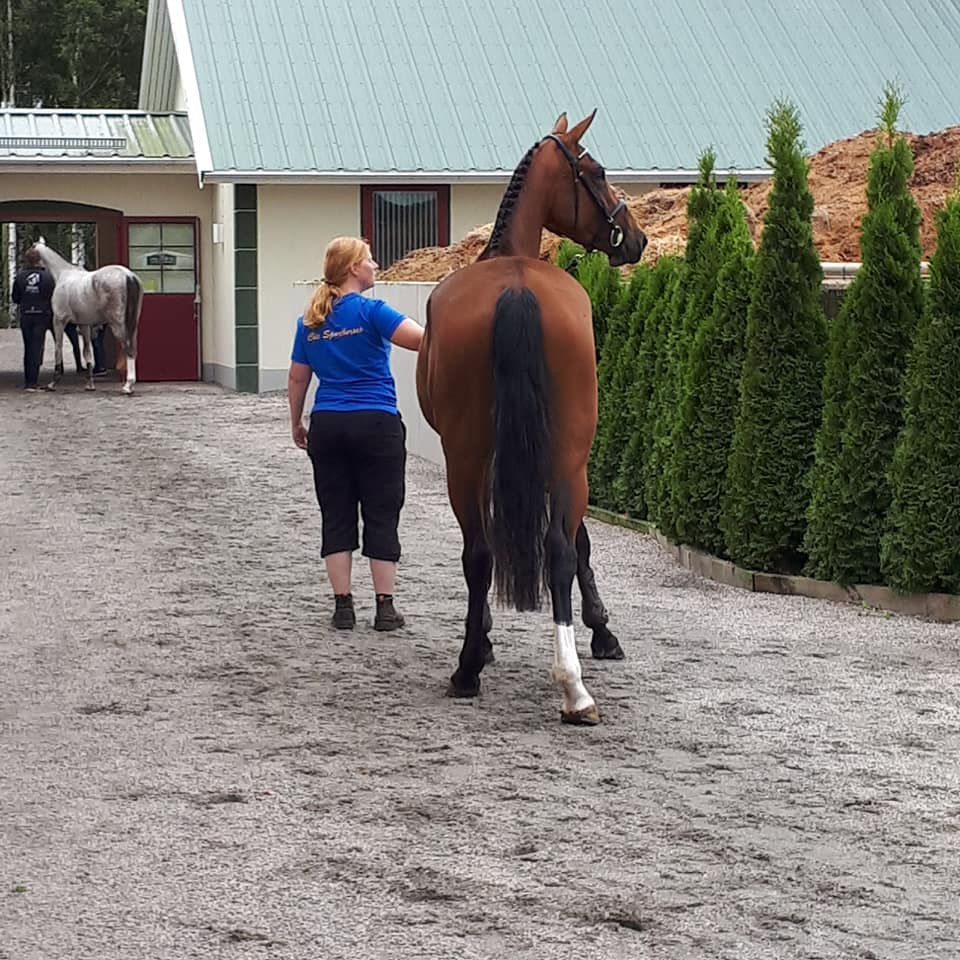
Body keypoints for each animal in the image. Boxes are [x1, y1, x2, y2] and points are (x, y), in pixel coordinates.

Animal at [31, 240, 143, 395]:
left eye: (30, 249)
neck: (62, 275)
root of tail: (128, 276)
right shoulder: (84, 324)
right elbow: (87, 352)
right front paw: (90, 384)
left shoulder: (59, 321)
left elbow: (58, 349)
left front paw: (52, 383)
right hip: (133, 325)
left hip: (118, 325)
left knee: (128, 348)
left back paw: (127, 386)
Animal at [416, 110, 647, 724]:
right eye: (598, 170)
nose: (636, 238)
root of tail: (517, 288)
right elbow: (577, 542)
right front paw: (601, 632)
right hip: (565, 456)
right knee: (554, 549)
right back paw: (570, 689)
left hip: (470, 459)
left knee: (483, 552)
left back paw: (472, 668)